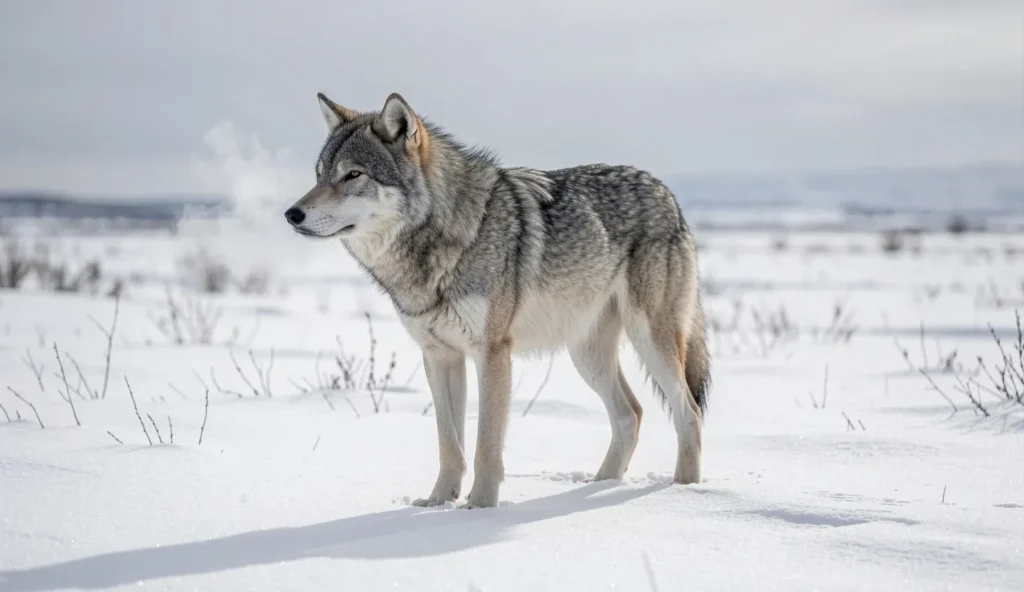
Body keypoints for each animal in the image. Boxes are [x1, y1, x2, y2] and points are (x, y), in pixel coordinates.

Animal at [285, 92, 711, 508]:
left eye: (353, 174)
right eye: (320, 174)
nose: (292, 214)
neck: (444, 241)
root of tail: (665, 192)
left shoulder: (491, 353)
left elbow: (485, 446)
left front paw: (480, 509)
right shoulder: (440, 356)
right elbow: (449, 445)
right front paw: (436, 504)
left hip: (649, 341)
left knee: (687, 411)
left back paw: (682, 491)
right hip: (587, 356)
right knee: (631, 414)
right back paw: (597, 485)